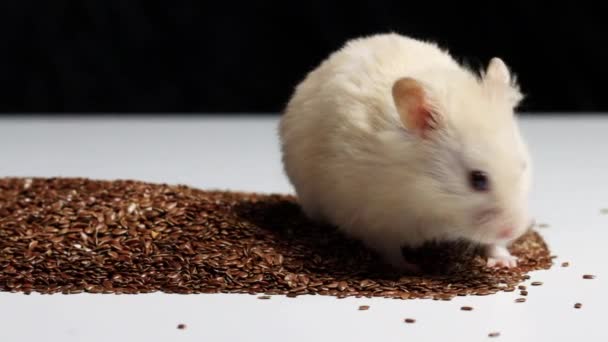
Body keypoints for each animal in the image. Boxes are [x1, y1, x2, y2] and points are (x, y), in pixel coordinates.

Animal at [280, 32, 532, 272]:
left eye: (523, 168)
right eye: (477, 179)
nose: (514, 231)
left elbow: (492, 243)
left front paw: (506, 262)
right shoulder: (375, 219)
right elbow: (390, 250)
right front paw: (411, 269)